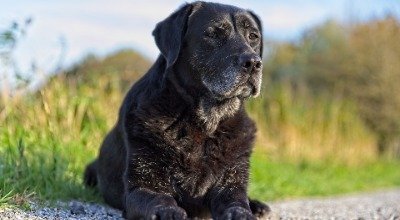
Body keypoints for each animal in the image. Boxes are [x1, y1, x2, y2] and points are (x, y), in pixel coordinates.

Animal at [85, 1, 268, 220]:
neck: (206, 123)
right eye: (213, 34)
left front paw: (245, 212)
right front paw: (169, 211)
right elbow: (159, 200)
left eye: (253, 36)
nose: (254, 63)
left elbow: (237, 203)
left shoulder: (230, 186)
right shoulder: (144, 186)